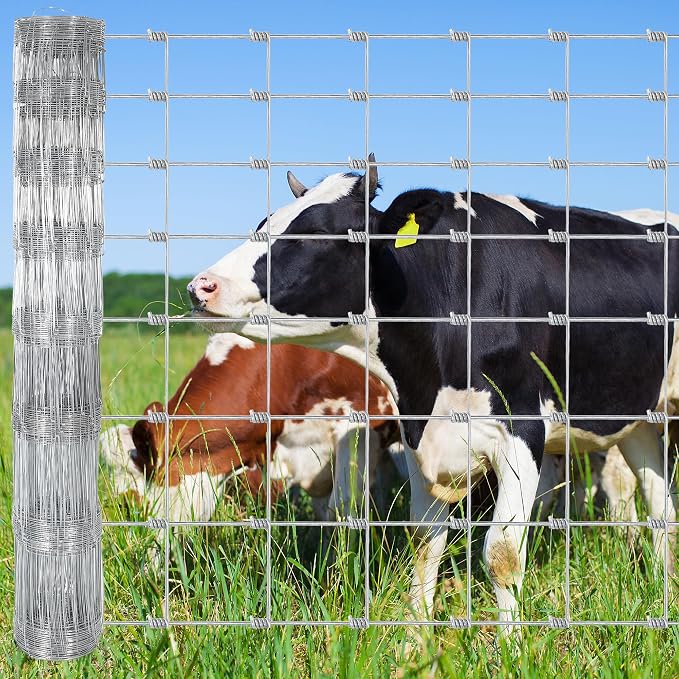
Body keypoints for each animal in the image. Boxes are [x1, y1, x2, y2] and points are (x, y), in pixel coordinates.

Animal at [186, 163, 678, 636]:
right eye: (263, 222)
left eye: (316, 232)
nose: (201, 286)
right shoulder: (419, 433)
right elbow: (425, 542)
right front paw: (415, 640)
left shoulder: (522, 430)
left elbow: (502, 554)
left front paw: (512, 647)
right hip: (638, 419)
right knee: (660, 504)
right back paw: (665, 587)